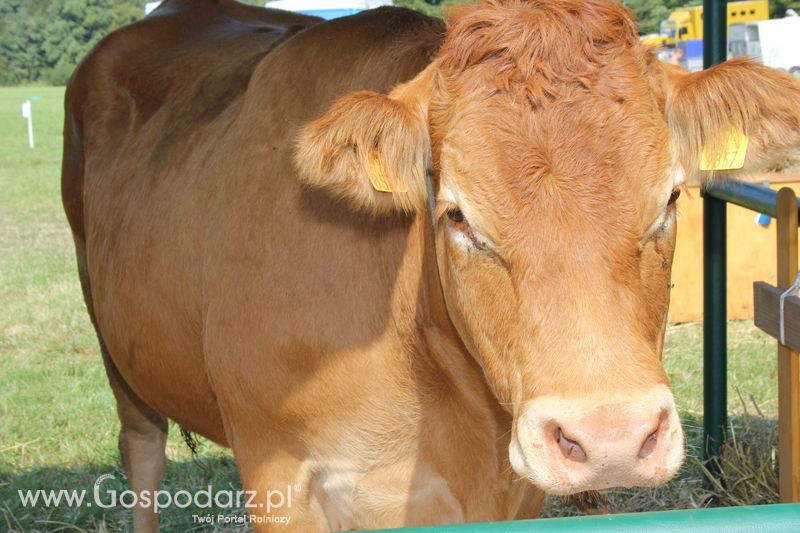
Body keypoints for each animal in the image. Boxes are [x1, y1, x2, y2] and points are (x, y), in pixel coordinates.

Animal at [62, 0, 800, 528]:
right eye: (457, 215)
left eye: (670, 197)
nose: (611, 438)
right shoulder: (280, 475)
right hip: (113, 341)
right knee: (143, 453)